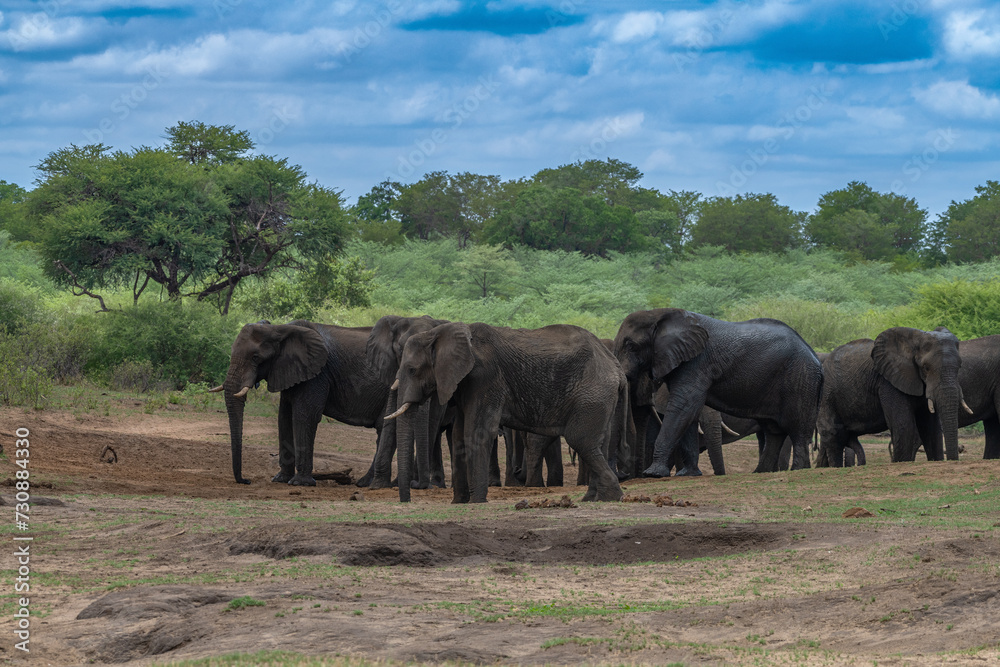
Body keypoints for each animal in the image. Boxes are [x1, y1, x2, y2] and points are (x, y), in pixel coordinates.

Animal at [214, 318, 390, 486]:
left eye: (255, 357)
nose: (246, 481)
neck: (279, 329)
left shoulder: (317, 373)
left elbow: (304, 417)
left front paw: (300, 483)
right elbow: (284, 418)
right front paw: (280, 479)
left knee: (383, 427)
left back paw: (366, 483)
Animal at [388, 322, 624, 500]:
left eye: (412, 370)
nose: (409, 495)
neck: (440, 332)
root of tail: (615, 364)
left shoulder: (486, 378)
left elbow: (476, 432)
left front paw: (476, 502)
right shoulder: (465, 384)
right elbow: (458, 435)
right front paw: (459, 503)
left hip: (592, 393)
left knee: (581, 440)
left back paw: (610, 496)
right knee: (598, 443)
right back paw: (592, 498)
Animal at [616, 310, 820, 478]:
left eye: (631, 346)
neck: (660, 314)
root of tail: (814, 354)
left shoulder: (696, 363)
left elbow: (684, 407)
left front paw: (653, 473)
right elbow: (689, 412)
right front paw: (688, 474)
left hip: (800, 378)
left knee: (797, 429)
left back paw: (798, 469)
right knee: (773, 432)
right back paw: (761, 472)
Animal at [812, 328, 968, 464]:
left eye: (960, 366)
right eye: (926, 368)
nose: (954, 460)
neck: (914, 340)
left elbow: (931, 429)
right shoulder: (888, 381)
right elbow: (904, 426)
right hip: (827, 394)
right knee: (834, 434)